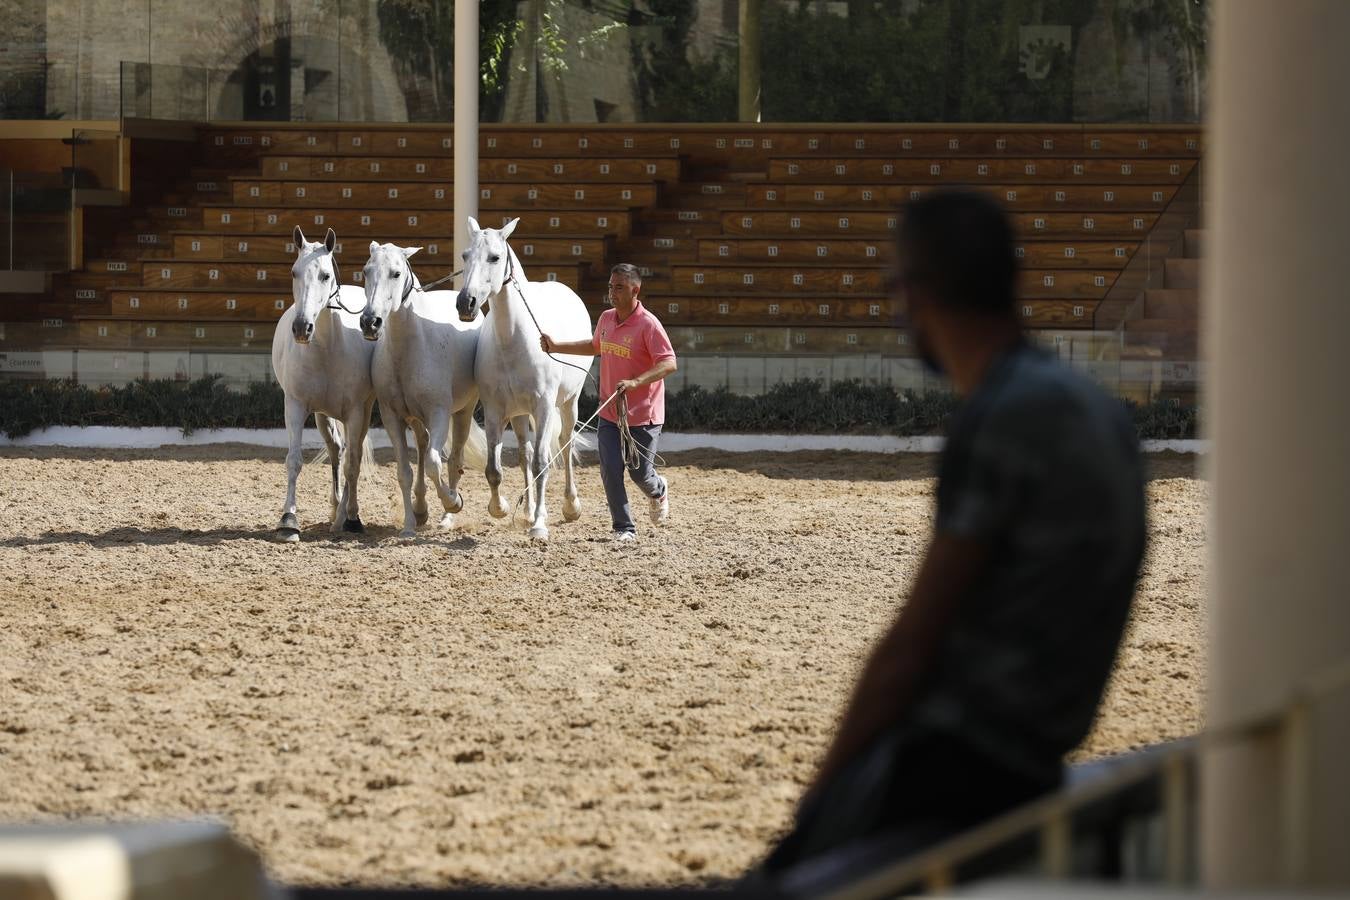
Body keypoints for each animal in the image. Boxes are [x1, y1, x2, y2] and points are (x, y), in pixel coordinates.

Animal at [268, 229, 375, 542]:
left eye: (325, 275)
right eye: (294, 272)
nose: (302, 328)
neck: (328, 348)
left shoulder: (356, 412)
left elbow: (354, 464)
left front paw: (352, 519)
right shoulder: (295, 406)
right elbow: (294, 460)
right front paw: (288, 520)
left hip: (362, 413)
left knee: (351, 455)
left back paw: (345, 514)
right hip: (321, 415)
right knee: (337, 451)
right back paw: (335, 508)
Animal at [361, 241, 488, 534]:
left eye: (396, 273)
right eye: (366, 271)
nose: (370, 322)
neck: (411, 347)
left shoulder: (438, 413)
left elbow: (433, 464)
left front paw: (454, 501)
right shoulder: (392, 416)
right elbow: (405, 472)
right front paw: (409, 525)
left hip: (463, 412)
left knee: (453, 460)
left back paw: (447, 517)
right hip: (417, 420)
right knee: (421, 447)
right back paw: (420, 510)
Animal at [453, 218, 591, 542]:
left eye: (495, 257)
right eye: (465, 255)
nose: (466, 303)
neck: (515, 340)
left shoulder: (543, 407)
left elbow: (543, 462)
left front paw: (540, 525)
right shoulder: (494, 410)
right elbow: (494, 469)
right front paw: (501, 508)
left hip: (568, 403)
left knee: (564, 445)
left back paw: (570, 507)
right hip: (518, 414)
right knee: (526, 453)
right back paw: (527, 511)